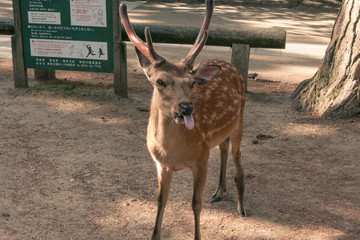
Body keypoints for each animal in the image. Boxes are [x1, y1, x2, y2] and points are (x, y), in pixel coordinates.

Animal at [119, 0, 246, 239]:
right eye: (160, 81)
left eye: (191, 83)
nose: (187, 107)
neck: (173, 152)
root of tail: (229, 64)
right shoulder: (161, 164)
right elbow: (161, 202)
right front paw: (154, 235)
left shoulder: (202, 158)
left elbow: (195, 204)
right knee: (223, 147)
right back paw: (219, 191)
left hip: (240, 121)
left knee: (237, 157)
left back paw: (241, 205)